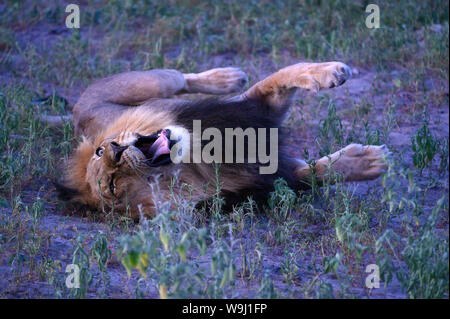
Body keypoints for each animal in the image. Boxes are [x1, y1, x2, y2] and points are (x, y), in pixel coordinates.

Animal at [54, 62, 388, 219]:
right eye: (112, 186)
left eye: (100, 151)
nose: (116, 151)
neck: (197, 159)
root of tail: (77, 110)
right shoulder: (264, 178)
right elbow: (315, 174)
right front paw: (370, 162)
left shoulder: (253, 110)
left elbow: (285, 75)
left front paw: (331, 71)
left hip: (150, 84)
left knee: (179, 78)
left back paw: (228, 76)